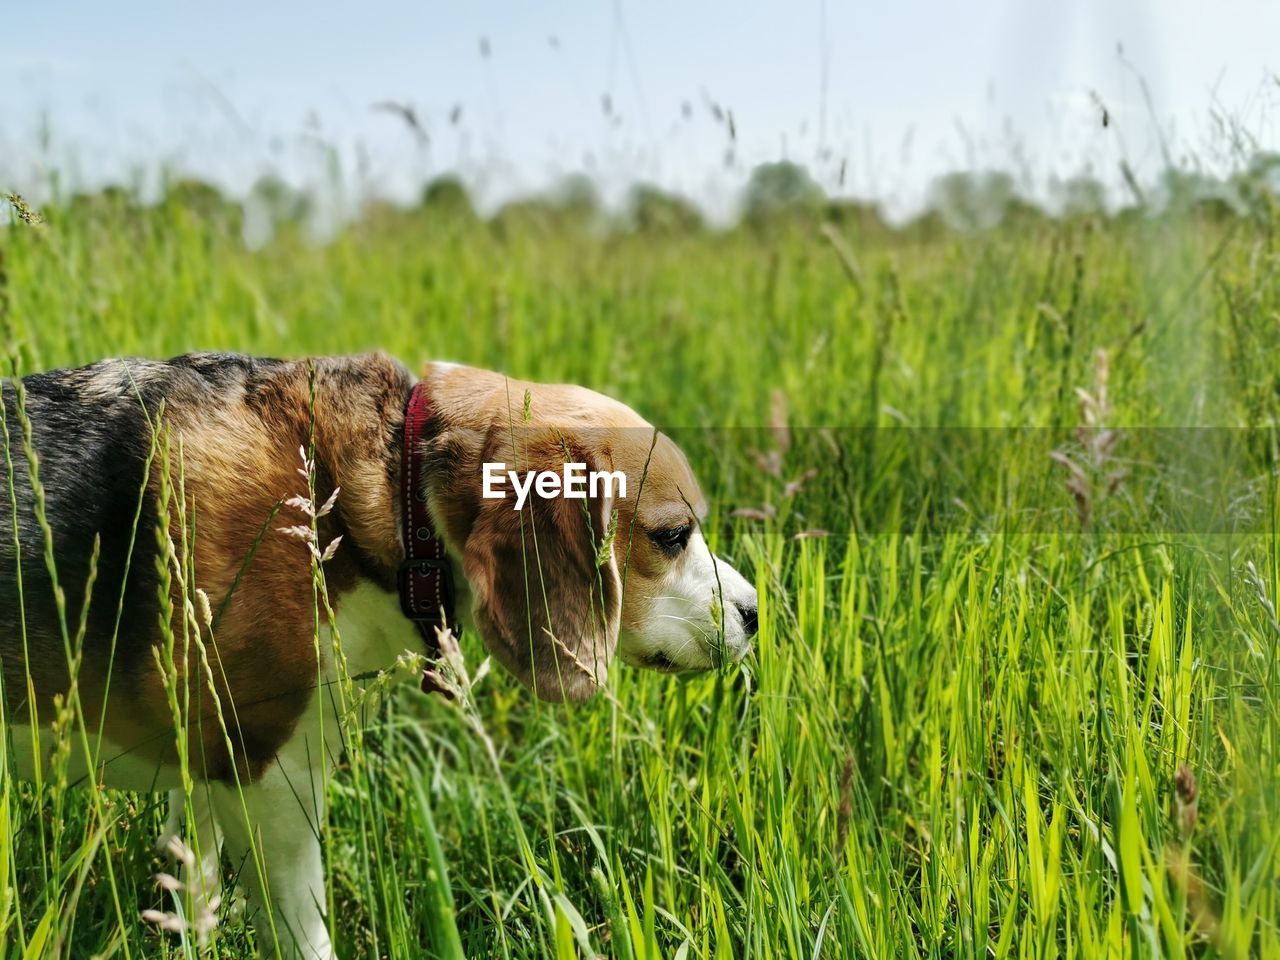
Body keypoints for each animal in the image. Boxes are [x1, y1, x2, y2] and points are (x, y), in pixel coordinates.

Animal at [0, 355, 757, 960]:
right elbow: (303, 930)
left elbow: (196, 876)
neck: (393, 487)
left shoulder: (209, 761)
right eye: (671, 536)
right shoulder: (273, 775)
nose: (757, 613)